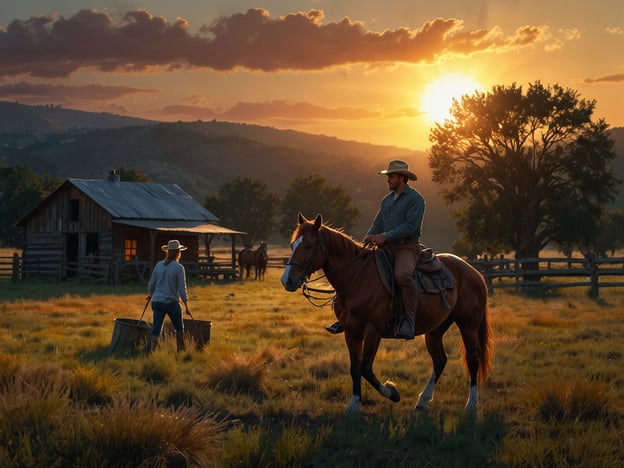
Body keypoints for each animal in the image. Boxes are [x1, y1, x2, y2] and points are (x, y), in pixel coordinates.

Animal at [280, 214, 492, 412]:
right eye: (292, 245)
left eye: (308, 246)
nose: (287, 280)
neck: (359, 279)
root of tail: (475, 273)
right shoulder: (351, 331)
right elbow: (355, 368)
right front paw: (354, 405)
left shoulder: (373, 330)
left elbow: (365, 368)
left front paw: (392, 392)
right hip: (435, 330)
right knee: (440, 360)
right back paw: (423, 401)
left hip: (468, 326)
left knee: (473, 359)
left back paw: (471, 404)